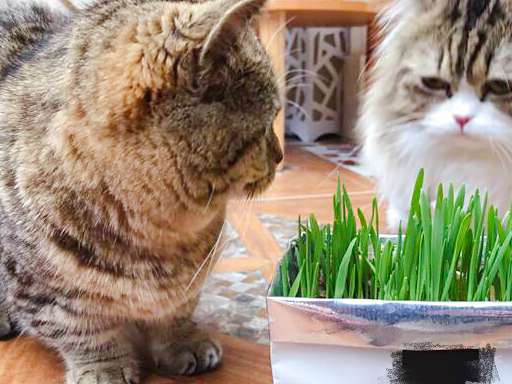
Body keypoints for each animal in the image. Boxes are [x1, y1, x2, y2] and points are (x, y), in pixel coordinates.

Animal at [0, 1, 282, 382]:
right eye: (268, 124)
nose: (281, 156)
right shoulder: (44, 292)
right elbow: (84, 332)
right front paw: (104, 367)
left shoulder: (189, 280)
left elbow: (177, 310)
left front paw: (182, 340)